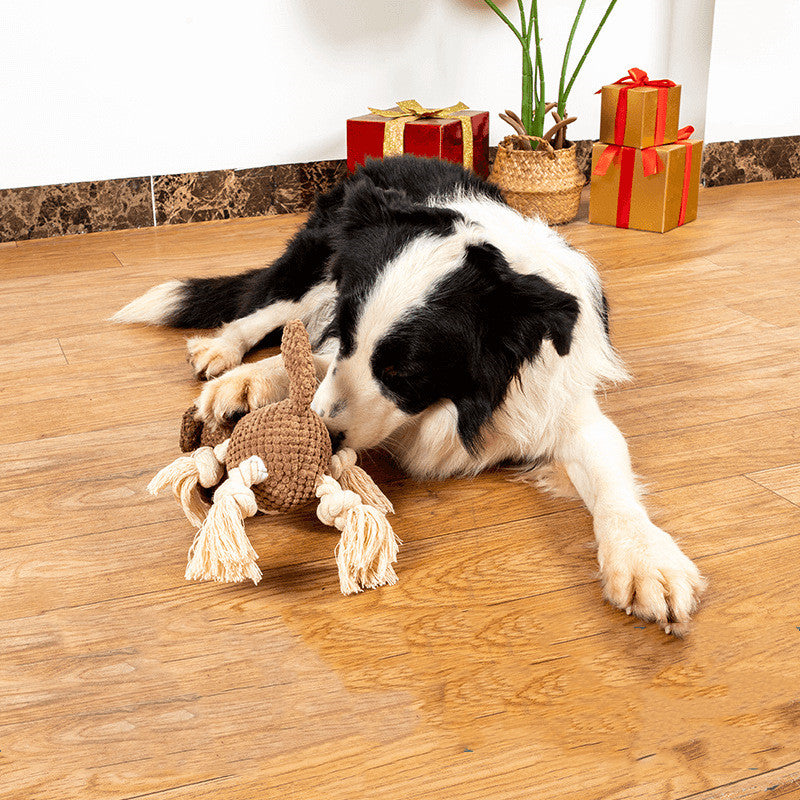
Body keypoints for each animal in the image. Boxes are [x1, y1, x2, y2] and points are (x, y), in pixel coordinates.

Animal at [114, 155, 708, 632]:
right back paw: (223, 355)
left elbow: (611, 477)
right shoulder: (336, 321)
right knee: (267, 308)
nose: (321, 438)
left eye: (403, 371)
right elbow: (310, 357)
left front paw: (645, 559)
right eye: (351, 334)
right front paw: (245, 385)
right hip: (317, 267)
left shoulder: (564, 403)